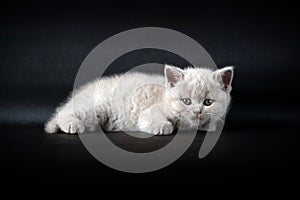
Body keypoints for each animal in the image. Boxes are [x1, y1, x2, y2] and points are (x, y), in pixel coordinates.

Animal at [44, 65, 233, 135]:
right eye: (186, 101)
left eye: (208, 102)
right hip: (95, 108)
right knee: (65, 112)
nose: (197, 111)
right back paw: (72, 125)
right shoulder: (149, 111)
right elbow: (153, 119)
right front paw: (164, 126)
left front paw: (207, 125)